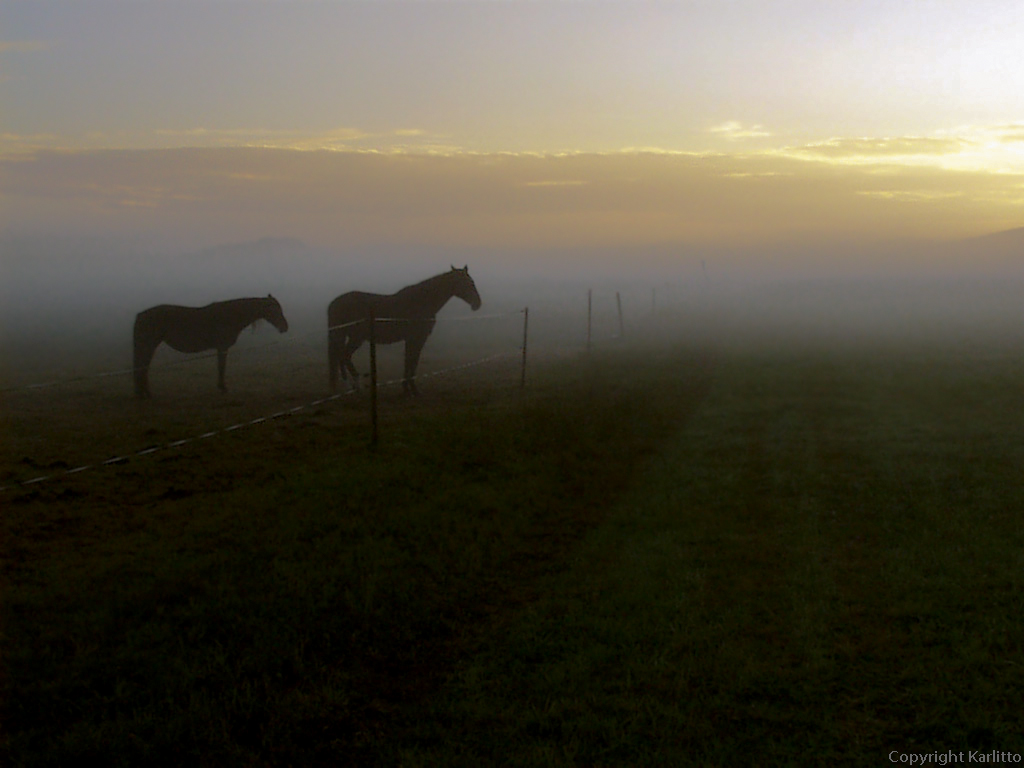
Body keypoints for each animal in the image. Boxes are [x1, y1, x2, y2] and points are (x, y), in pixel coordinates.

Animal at [133, 296, 288, 399]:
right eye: (275, 310)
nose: (285, 327)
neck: (230, 316)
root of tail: (141, 315)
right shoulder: (222, 347)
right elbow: (221, 367)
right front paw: (223, 387)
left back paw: (143, 392)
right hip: (149, 345)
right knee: (143, 366)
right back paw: (145, 393)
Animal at [329, 266, 485, 397]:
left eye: (472, 281)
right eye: (467, 283)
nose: (477, 304)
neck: (421, 302)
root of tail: (335, 302)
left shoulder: (412, 339)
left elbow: (409, 361)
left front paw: (406, 389)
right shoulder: (416, 338)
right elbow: (412, 361)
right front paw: (413, 390)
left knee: (341, 357)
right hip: (356, 337)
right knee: (344, 356)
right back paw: (355, 384)